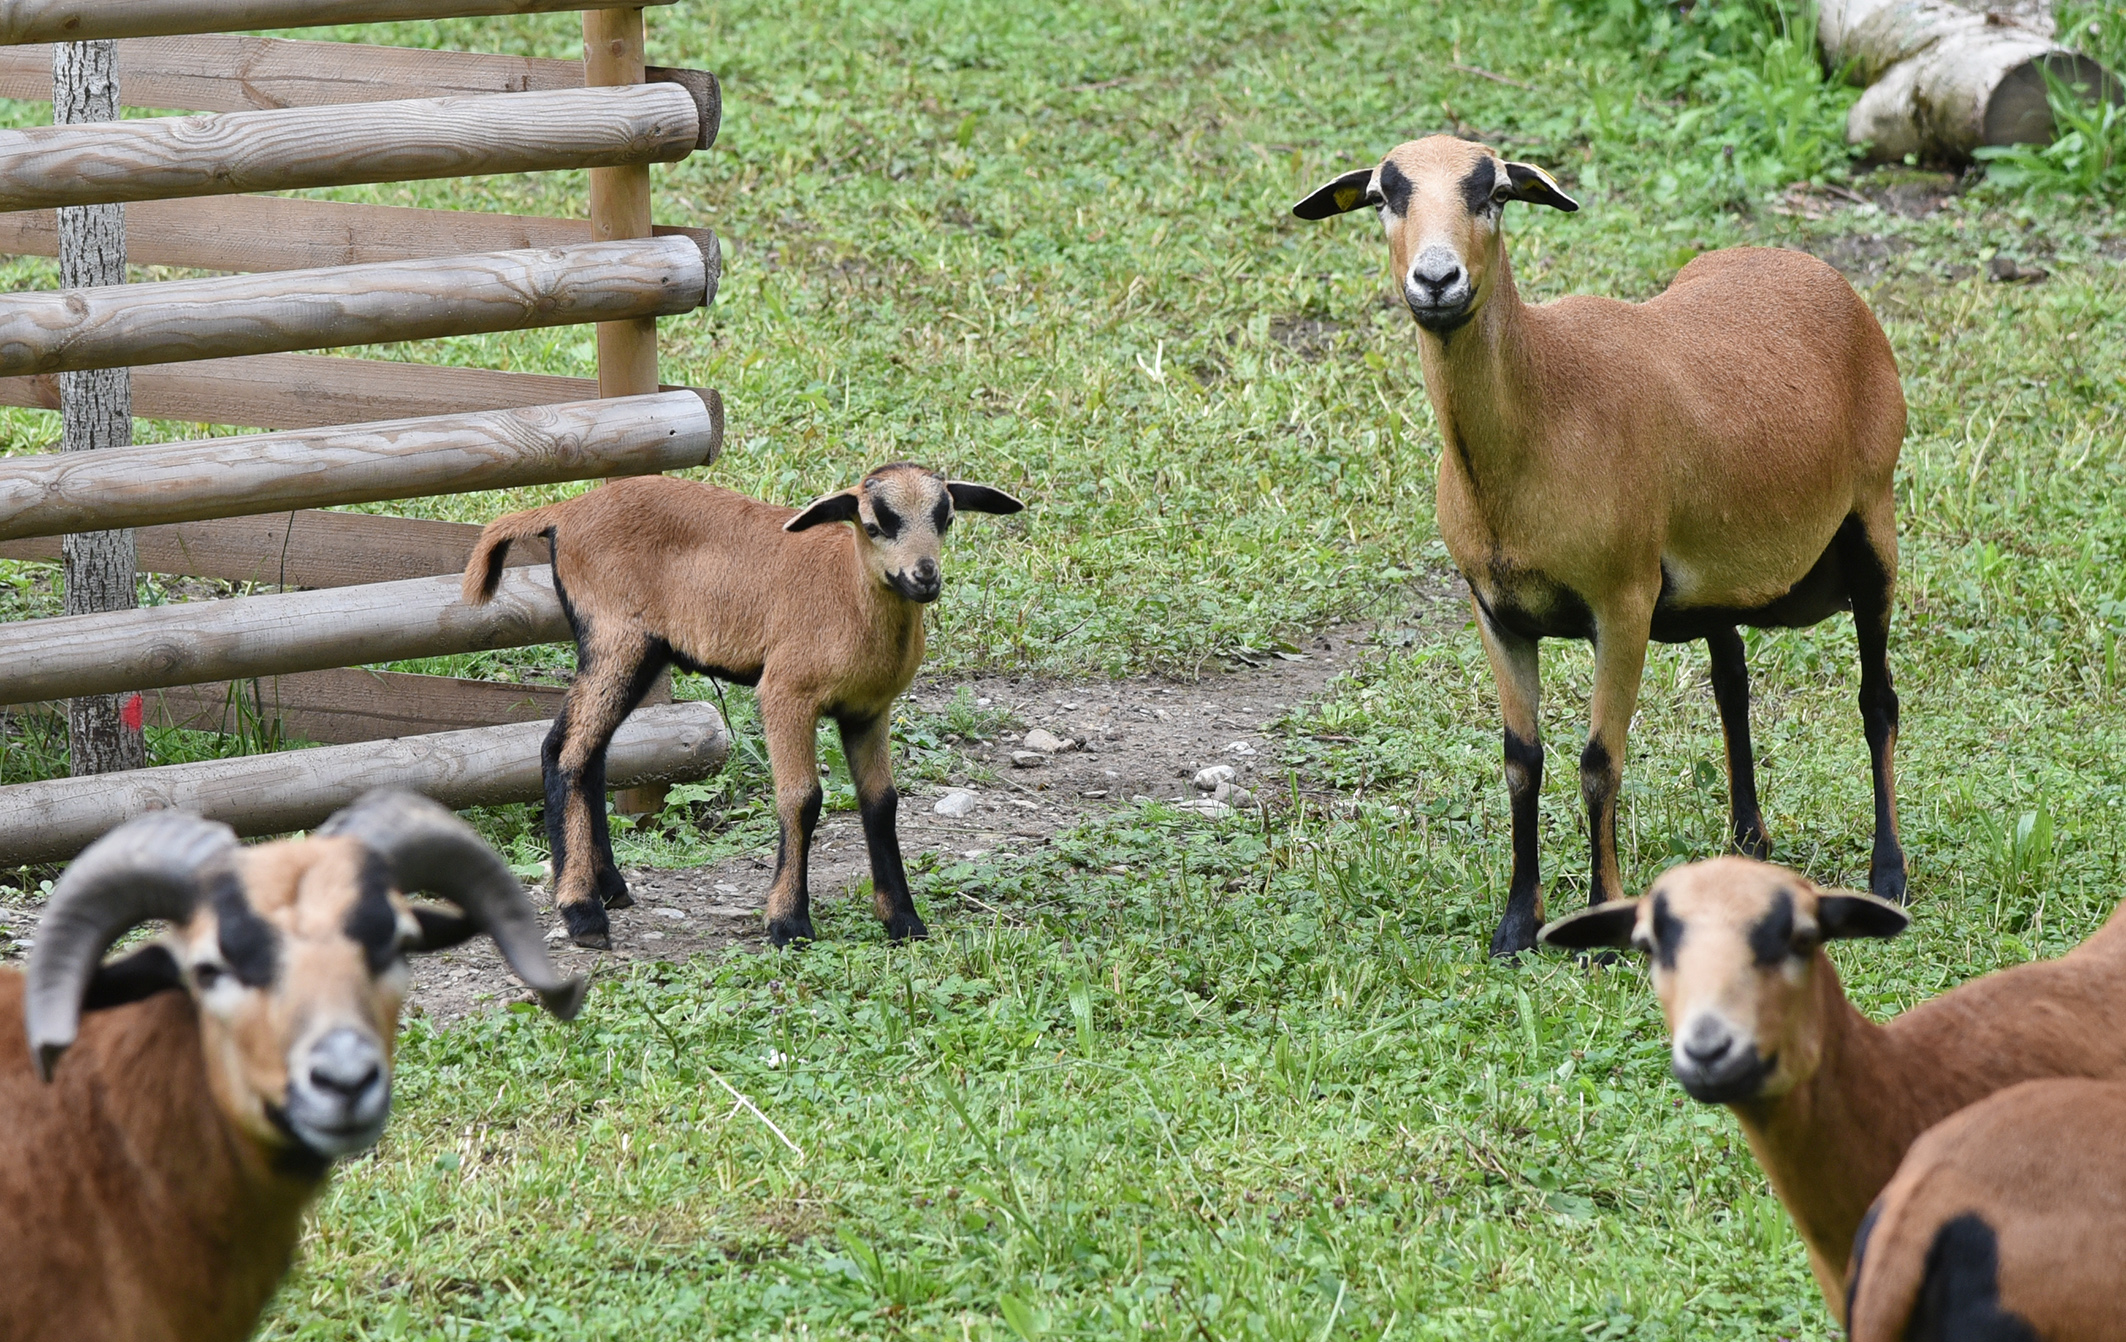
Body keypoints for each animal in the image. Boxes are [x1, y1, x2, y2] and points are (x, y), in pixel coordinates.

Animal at [461, 467, 1024, 948]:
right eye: (872, 524)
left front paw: (904, 921)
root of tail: (565, 510)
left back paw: (610, 889)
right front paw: (789, 924)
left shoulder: (868, 711)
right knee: (567, 752)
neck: (849, 594)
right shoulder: (785, 693)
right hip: (614, 635)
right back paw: (582, 914)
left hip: (637, 650)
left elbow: (881, 802)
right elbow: (802, 799)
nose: (924, 577)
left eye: (946, 519)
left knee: (586, 751)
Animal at [1292, 136, 1913, 957]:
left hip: (1872, 520)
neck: (1541, 409)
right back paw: (1748, 844)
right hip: (1715, 576)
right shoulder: (1495, 611)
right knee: (1732, 683)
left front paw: (1601, 916)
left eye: (1493, 193)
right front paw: (1515, 926)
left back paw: (1888, 876)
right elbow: (1521, 761)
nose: (1436, 280)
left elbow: (1599, 761)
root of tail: (1810, 266)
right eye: (1383, 197)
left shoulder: (1622, 604)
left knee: (1878, 700)